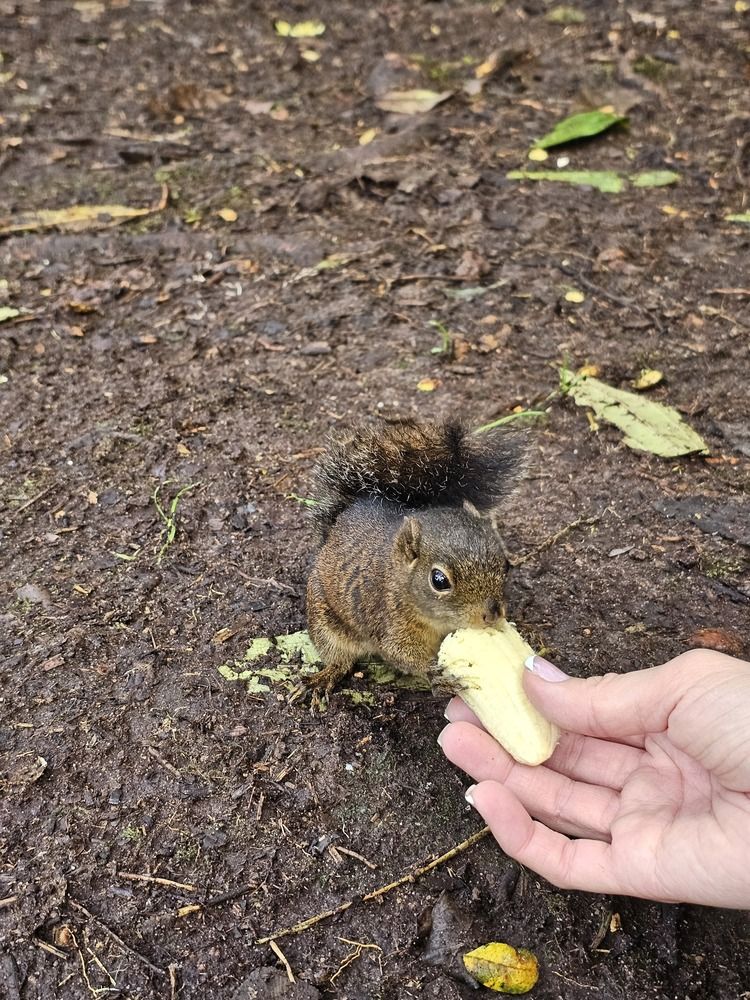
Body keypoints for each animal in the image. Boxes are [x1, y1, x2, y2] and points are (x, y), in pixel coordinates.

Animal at [305, 419, 523, 692]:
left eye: (506, 566)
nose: (492, 614)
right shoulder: (391, 619)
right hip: (325, 620)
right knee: (338, 657)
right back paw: (327, 675)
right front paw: (435, 674)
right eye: (439, 580)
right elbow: (399, 652)